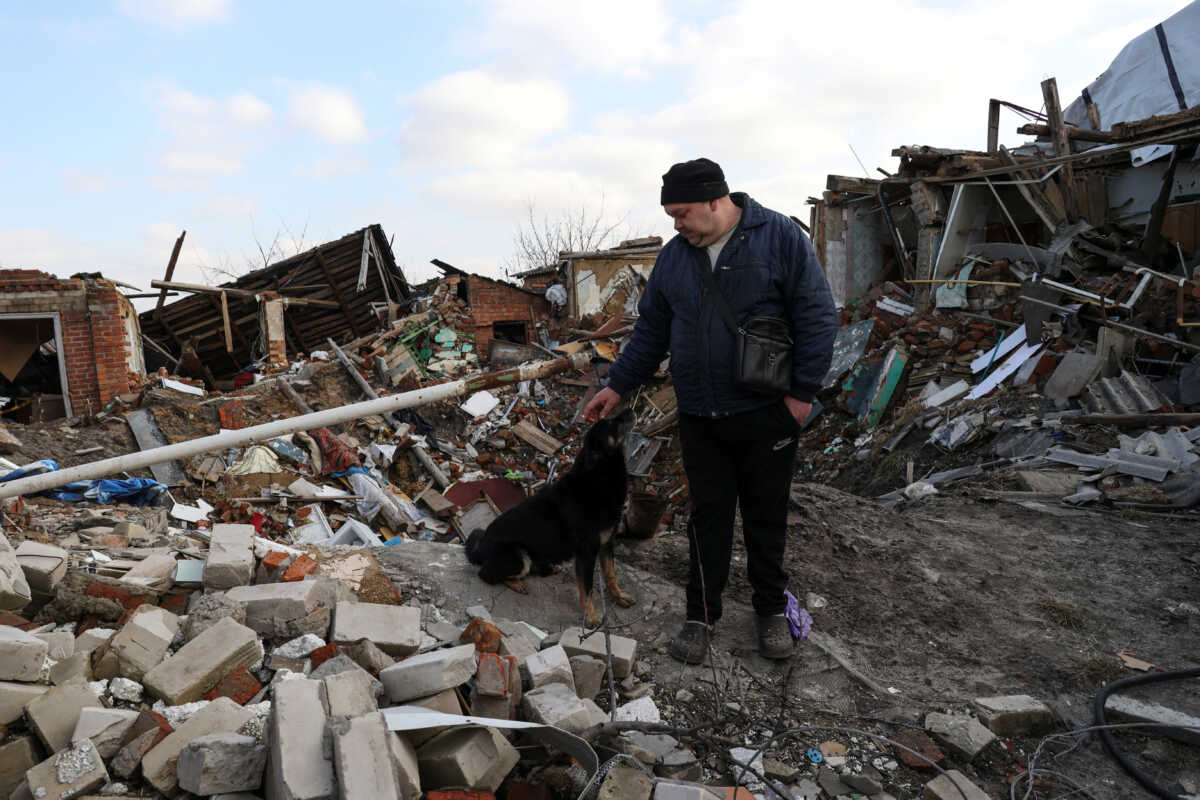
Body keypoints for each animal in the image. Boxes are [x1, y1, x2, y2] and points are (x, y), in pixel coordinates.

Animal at [465, 412, 638, 623]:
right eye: (613, 422)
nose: (631, 410)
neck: (600, 475)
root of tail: (480, 547)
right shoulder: (587, 553)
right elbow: (588, 589)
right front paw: (590, 618)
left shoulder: (606, 544)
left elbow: (611, 574)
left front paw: (619, 596)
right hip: (519, 558)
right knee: (487, 574)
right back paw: (516, 583)